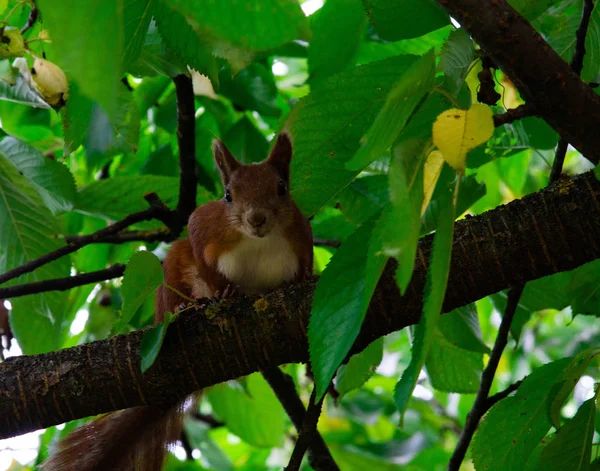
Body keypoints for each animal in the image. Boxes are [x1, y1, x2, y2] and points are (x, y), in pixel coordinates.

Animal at [41, 132, 314, 471]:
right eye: (228, 195)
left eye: (281, 188)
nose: (257, 219)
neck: (257, 241)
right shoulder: (205, 225)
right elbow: (200, 250)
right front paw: (224, 292)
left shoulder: (302, 234)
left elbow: (307, 268)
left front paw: (298, 282)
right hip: (172, 271)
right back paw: (185, 307)